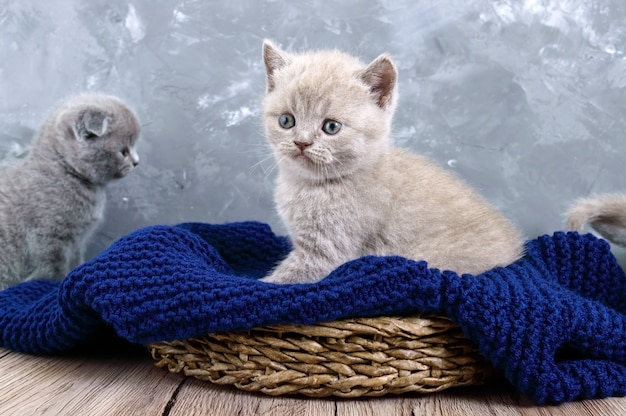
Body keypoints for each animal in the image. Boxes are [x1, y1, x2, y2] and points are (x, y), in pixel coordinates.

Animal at [0, 94, 140, 290]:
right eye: (124, 151)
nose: (137, 162)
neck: (65, 173)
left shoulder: (76, 244)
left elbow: (75, 262)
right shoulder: (48, 241)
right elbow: (54, 271)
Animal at [260, 40, 524, 284]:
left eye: (331, 127)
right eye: (286, 120)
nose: (301, 143)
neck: (309, 185)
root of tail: (516, 254)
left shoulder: (327, 251)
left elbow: (282, 280)